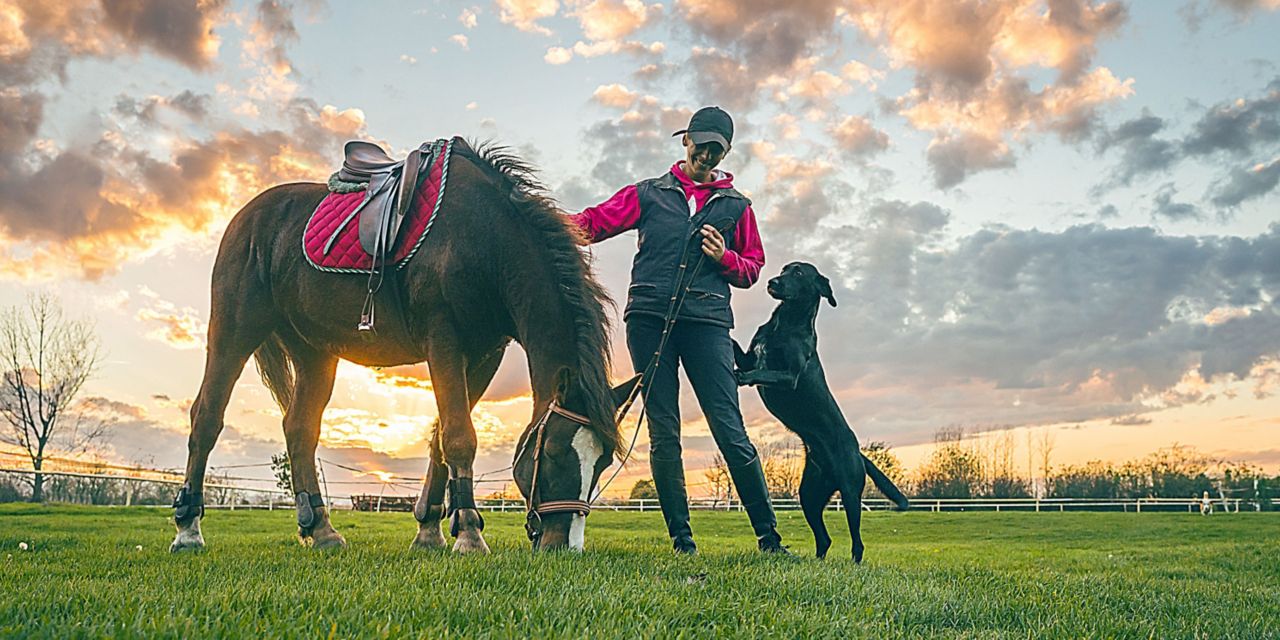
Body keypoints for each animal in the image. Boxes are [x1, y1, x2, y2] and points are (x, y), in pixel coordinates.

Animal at [167, 140, 637, 550]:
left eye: (602, 462)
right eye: (555, 452)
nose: (565, 545)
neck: (485, 239)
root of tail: (247, 216)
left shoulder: (484, 355)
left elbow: (440, 439)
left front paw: (430, 531)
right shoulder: (443, 341)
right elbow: (459, 436)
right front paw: (469, 534)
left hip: (315, 352)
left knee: (300, 428)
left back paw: (321, 529)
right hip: (234, 330)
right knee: (206, 418)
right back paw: (188, 529)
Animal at [732, 259, 911, 560]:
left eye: (798, 272)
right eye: (783, 269)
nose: (772, 282)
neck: (785, 322)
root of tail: (858, 453)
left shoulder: (789, 376)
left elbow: (761, 372)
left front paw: (741, 378)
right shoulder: (749, 356)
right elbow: (740, 351)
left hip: (850, 492)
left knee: (857, 542)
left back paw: (853, 564)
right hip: (809, 495)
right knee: (824, 539)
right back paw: (817, 562)